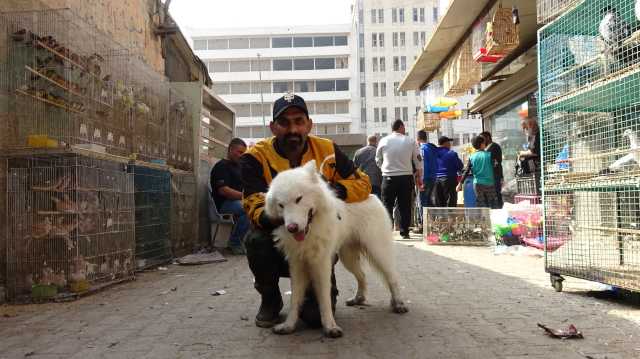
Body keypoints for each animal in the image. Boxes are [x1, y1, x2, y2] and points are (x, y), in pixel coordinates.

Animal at [266, 160, 410, 338]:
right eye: (281, 205)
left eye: (299, 199)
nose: (292, 228)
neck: (312, 227)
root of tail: (372, 195)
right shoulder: (297, 266)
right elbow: (295, 300)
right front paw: (288, 326)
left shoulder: (321, 266)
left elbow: (324, 300)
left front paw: (330, 327)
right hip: (347, 258)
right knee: (362, 276)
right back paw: (358, 299)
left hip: (378, 252)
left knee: (392, 278)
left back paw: (399, 304)